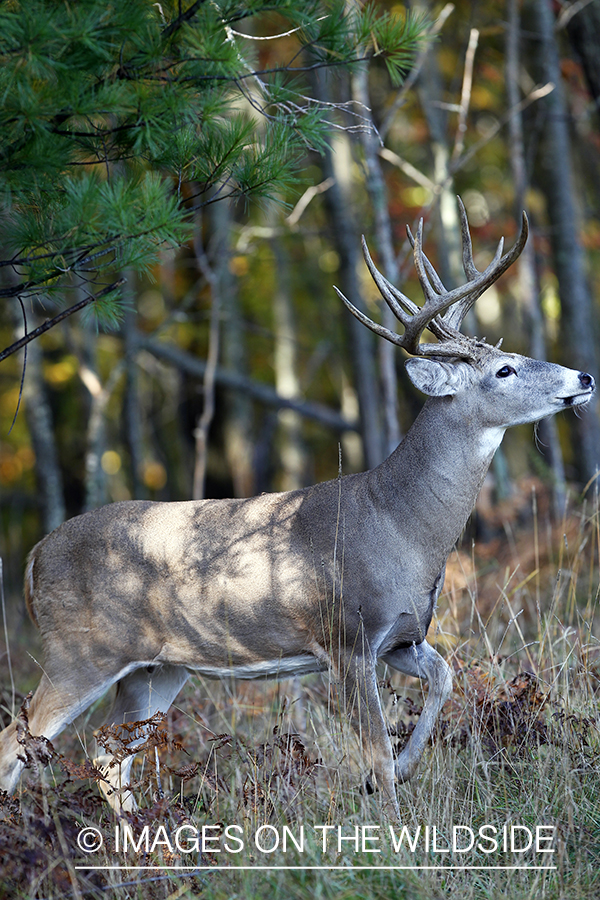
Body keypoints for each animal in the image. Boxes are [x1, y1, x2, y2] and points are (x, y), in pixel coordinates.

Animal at [0, 200, 592, 820]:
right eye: (504, 370)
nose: (584, 376)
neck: (400, 524)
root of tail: (36, 553)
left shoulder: (402, 636)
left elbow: (445, 677)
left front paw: (402, 774)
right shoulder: (347, 634)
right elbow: (375, 747)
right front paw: (391, 821)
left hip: (157, 667)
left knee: (108, 757)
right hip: (80, 649)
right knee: (18, 742)